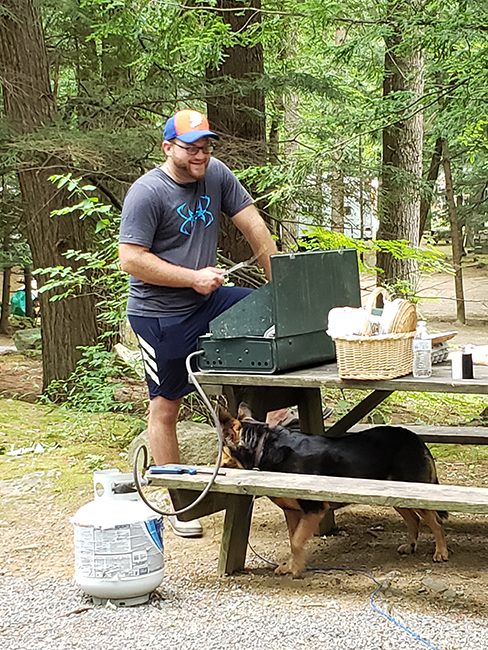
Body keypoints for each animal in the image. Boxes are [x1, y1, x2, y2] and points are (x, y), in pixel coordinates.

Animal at [219, 402, 448, 576]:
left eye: (220, 448)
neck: (262, 447)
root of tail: (416, 439)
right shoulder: (292, 511)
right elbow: (293, 541)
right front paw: (291, 566)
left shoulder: (313, 509)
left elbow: (296, 542)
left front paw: (296, 570)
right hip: (397, 497)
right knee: (414, 520)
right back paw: (410, 546)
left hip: (416, 496)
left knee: (436, 523)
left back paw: (441, 553)